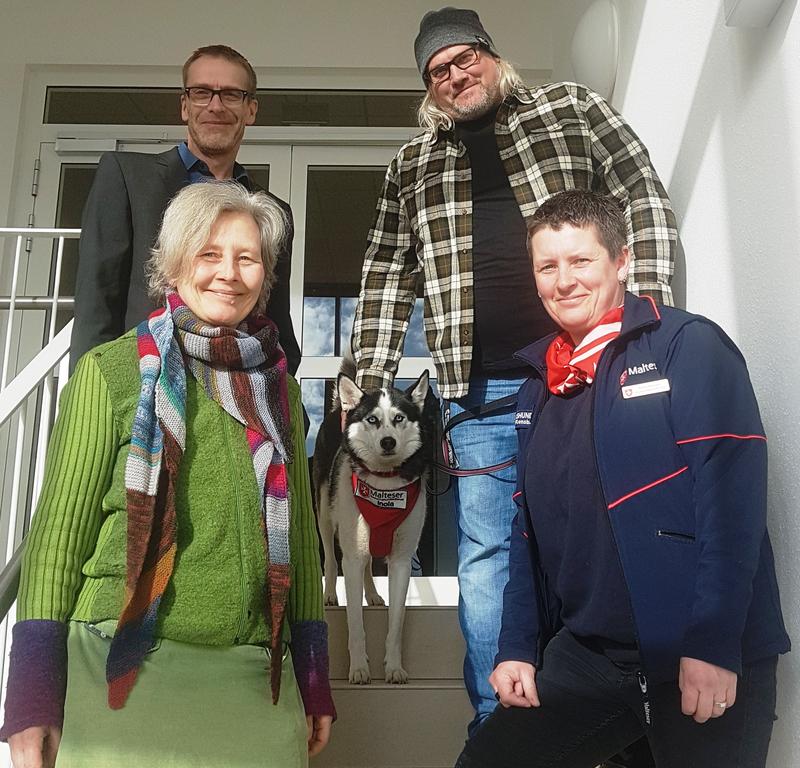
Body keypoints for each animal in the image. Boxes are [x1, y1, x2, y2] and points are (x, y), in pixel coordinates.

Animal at [314, 366, 434, 684]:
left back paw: (373, 595)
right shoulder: (351, 558)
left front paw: (393, 667)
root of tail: (338, 409)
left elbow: (397, 623)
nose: (388, 441)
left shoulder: (402, 561)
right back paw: (329, 594)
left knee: (369, 565)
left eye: (399, 418)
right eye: (372, 419)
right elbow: (355, 623)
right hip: (325, 515)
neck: (384, 486)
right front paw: (358, 668)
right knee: (330, 558)